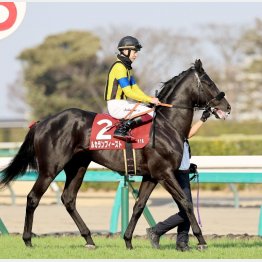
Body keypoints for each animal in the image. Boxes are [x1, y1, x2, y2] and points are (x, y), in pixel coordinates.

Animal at [0, 58, 230, 250]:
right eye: (209, 82)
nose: (226, 107)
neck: (167, 124)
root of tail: (41, 123)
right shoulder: (164, 173)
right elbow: (186, 203)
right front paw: (201, 240)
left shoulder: (151, 175)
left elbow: (139, 206)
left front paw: (128, 240)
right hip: (50, 168)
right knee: (33, 198)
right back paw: (28, 240)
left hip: (77, 166)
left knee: (68, 199)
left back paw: (89, 239)